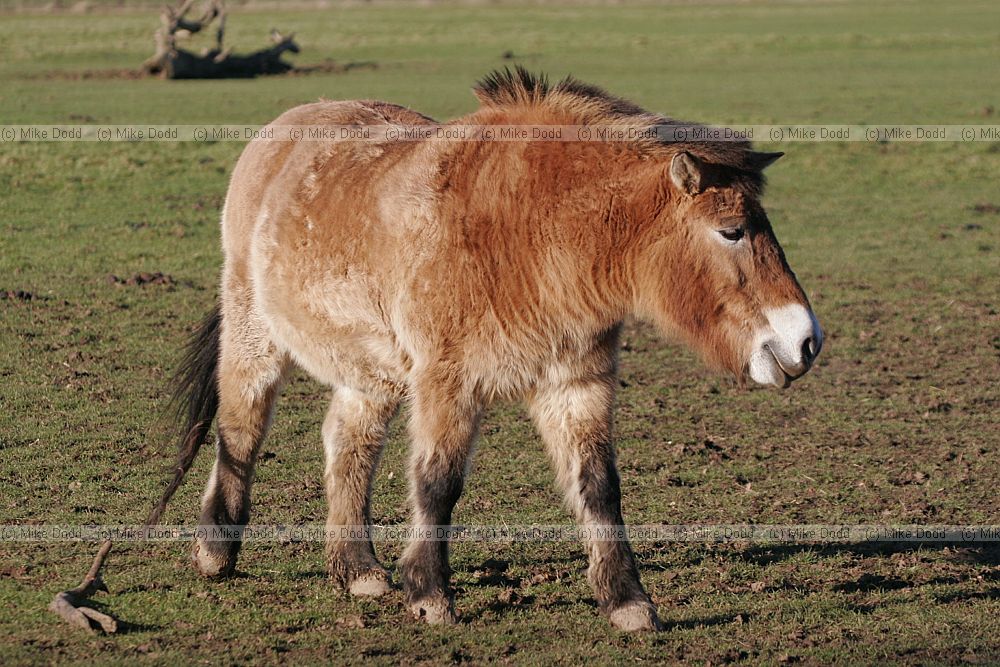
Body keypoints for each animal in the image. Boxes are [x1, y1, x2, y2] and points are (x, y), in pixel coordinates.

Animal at [172, 67, 822, 632]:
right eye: (732, 231)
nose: (805, 340)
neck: (529, 232)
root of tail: (285, 127)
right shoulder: (448, 381)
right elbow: (438, 482)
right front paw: (431, 595)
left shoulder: (576, 381)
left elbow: (599, 487)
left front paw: (628, 603)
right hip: (255, 334)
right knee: (241, 427)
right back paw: (216, 551)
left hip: (371, 369)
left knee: (348, 440)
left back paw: (357, 569)